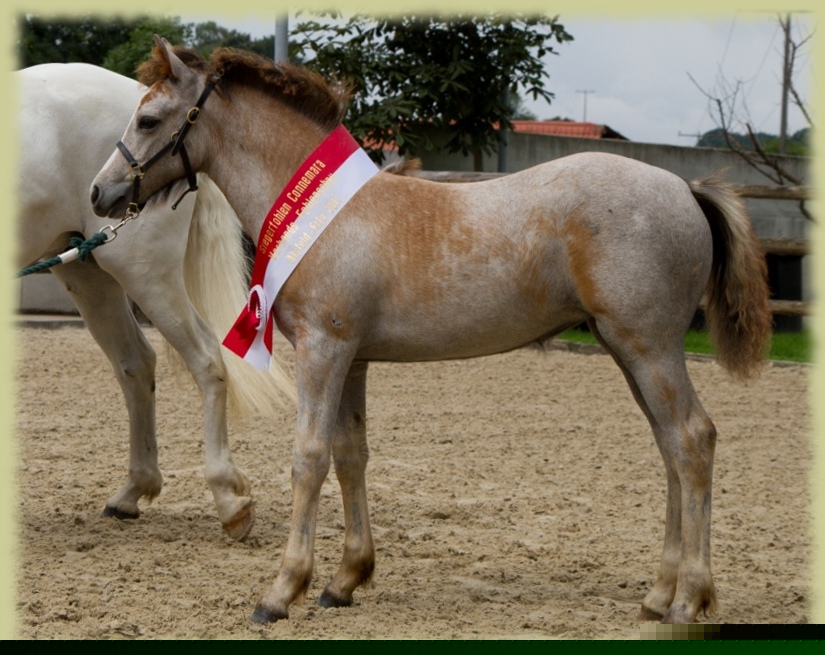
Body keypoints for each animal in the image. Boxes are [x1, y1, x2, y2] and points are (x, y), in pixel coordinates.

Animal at [16, 62, 295, 540]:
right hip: (87, 272)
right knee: (135, 363)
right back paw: (131, 492)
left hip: (143, 272)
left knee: (206, 359)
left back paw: (229, 500)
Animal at [89, 37, 772, 625]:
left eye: (148, 119)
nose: (100, 192)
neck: (324, 212)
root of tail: (685, 187)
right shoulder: (353, 359)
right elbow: (351, 455)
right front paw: (346, 579)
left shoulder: (322, 350)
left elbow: (309, 457)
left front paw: (282, 590)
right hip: (628, 350)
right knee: (669, 449)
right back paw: (658, 595)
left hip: (650, 349)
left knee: (692, 441)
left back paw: (690, 599)